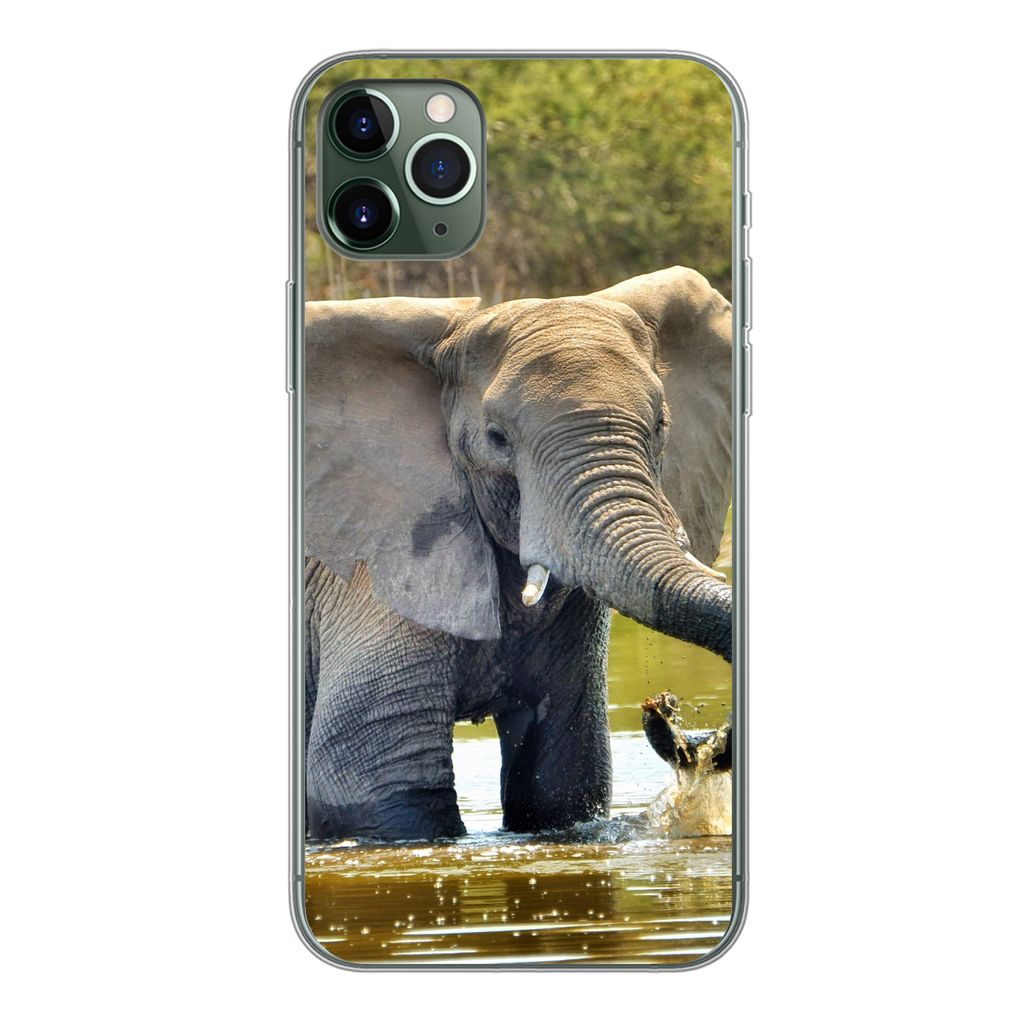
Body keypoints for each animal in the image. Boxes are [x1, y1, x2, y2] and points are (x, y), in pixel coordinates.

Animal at [303, 266, 734, 841]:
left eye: (662, 425)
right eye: (496, 439)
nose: (661, 710)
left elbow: (561, 779)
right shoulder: (373, 561)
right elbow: (376, 783)